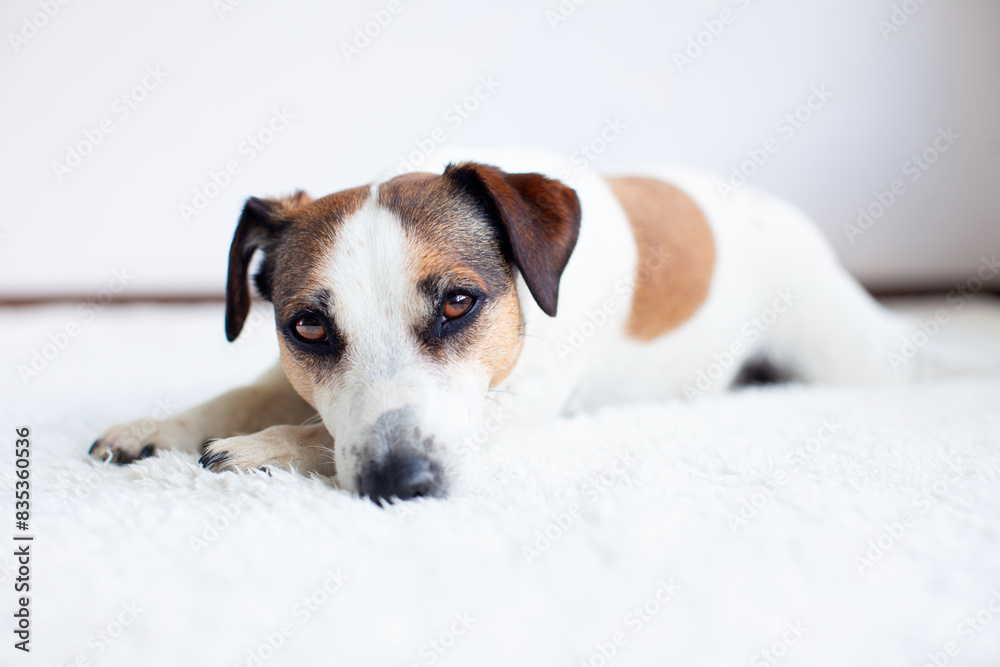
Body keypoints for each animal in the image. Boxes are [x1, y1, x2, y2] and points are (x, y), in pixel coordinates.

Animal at [90, 146, 916, 500]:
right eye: (309, 328)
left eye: (459, 302)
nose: (399, 482)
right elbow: (241, 394)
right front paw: (157, 429)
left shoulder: (516, 403)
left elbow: (317, 430)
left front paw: (266, 446)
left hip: (846, 354)